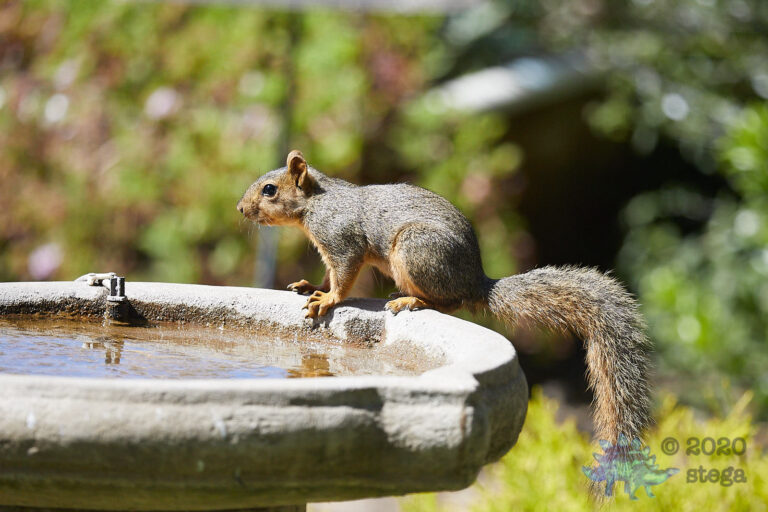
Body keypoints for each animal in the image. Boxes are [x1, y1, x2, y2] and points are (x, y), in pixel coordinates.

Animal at [237, 150, 652, 445]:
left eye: (269, 190)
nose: (241, 209)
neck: (317, 203)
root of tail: (476, 281)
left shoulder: (342, 240)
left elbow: (344, 277)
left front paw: (327, 300)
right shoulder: (330, 249)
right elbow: (328, 274)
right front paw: (311, 287)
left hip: (416, 250)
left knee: (452, 303)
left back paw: (412, 301)